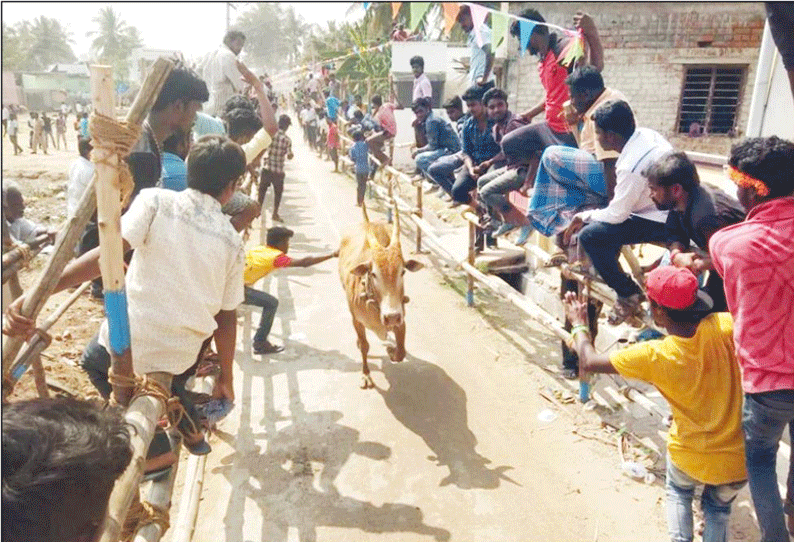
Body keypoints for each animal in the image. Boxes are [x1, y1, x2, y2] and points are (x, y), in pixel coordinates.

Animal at [336, 205, 420, 392]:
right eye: (373, 274)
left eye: (403, 272)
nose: (391, 316)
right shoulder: (357, 321)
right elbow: (364, 346)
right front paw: (366, 375)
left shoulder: (401, 319)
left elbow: (401, 352)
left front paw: (391, 351)